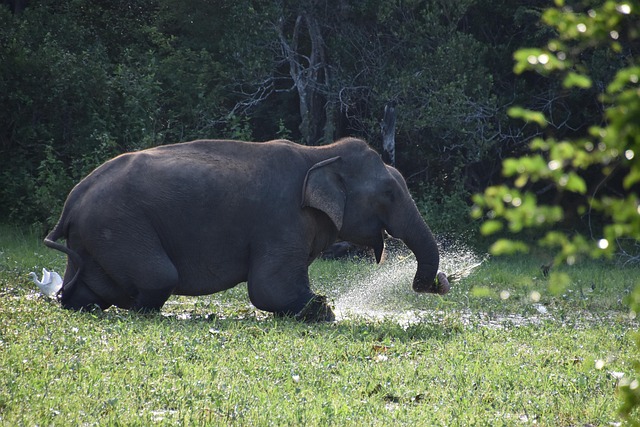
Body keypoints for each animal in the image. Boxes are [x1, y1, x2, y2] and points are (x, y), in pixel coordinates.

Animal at [44, 137, 450, 321]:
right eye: (389, 193)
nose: (438, 283)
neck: (318, 152)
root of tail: (70, 204)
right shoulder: (280, 221)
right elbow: (269, 288)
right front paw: (325, 310)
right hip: (121, 226)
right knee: (159, 277)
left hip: (98, 240)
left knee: (87, 288)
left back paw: (79, 304)